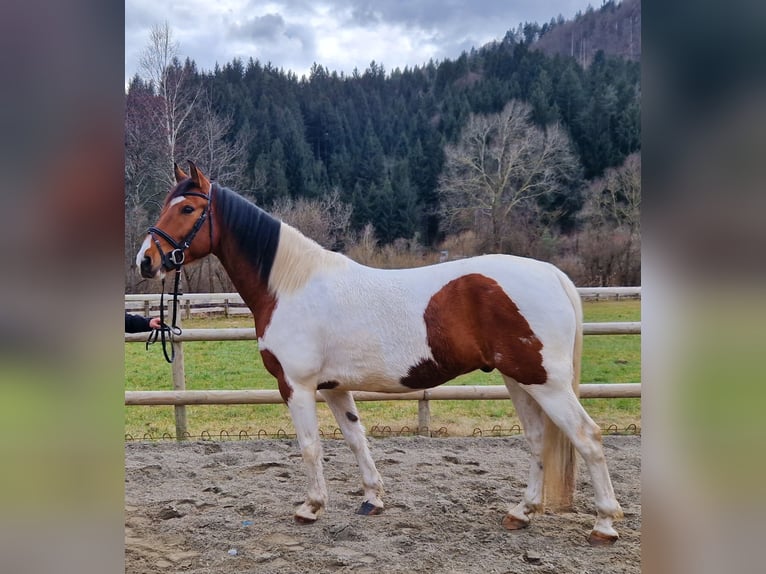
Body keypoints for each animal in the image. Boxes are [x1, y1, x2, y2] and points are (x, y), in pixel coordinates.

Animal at [136, 163, 624, 548]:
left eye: (187, 209)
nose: (146, 261)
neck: (291, 286)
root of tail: (553, 275)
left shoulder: (296, 385)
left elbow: (310, 446)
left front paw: (311, 507)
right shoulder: (333, 388)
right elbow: (356, 438)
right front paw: (372, 498)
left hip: (546, 382)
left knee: (588, 437)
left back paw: (604, 525)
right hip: (518, 379)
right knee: (538, 439)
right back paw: (521, 512)